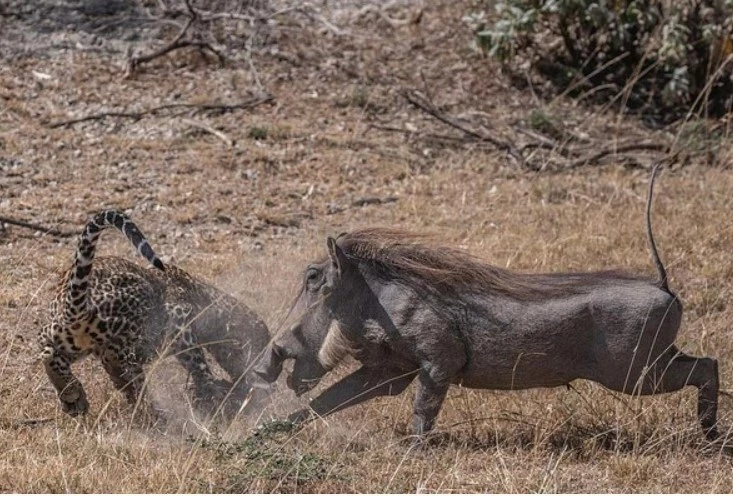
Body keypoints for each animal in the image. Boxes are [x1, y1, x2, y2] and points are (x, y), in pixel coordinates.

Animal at [38, 209, 272, 422]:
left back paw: (73, 395)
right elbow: (197, 362)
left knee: (48, 350)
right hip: (132, 305)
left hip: (68, 338)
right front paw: (212, 393)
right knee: (115, 355)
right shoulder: (180, 319)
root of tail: (72, 302)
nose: (265, 375)